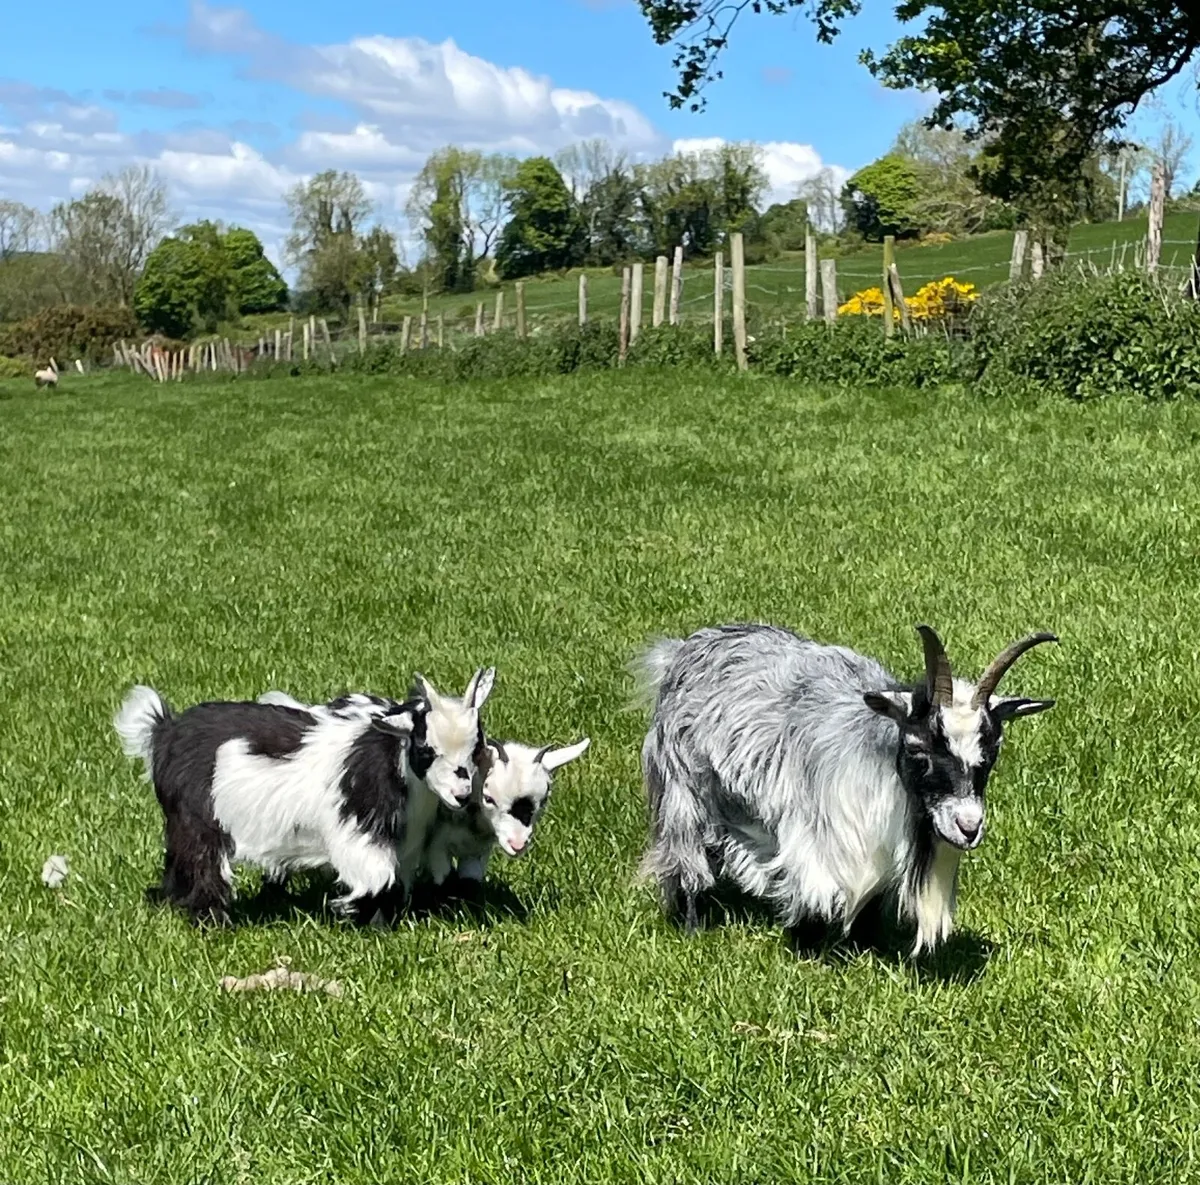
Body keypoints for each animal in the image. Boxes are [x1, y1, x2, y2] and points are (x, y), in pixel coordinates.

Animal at [113, 668, 494, 925]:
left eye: (476, 745)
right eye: (426, 749)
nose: (462, 795)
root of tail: (164, 731)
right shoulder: (358, 835)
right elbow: (376, 878)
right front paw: (361, 918)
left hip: (180, 824)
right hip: (199, 821)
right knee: (204, 867)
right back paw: (213, 920)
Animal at [634, 623, 1056, 955]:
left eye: (991, 754)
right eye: (918, 750)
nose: (968, 827)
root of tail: (681, 651)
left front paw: (865, 948)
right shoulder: (816, 836)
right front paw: (807, 947)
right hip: (681, 790)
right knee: (685, 856)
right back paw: (692, 922)